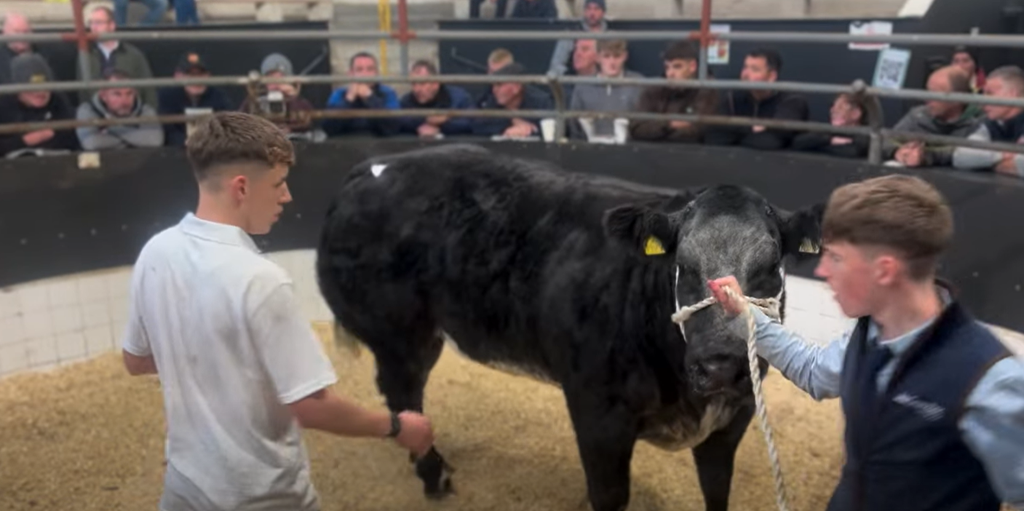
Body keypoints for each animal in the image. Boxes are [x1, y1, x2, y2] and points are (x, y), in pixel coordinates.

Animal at [315, 143, 824, 511]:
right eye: (683, 262)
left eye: (772, 265)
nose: (719, 365)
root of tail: (371, 167)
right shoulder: (597, 412)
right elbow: (609, 495)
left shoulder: (734, 416)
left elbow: (717, 490)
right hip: (398, 333)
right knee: (402, 394)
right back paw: (434, 473)